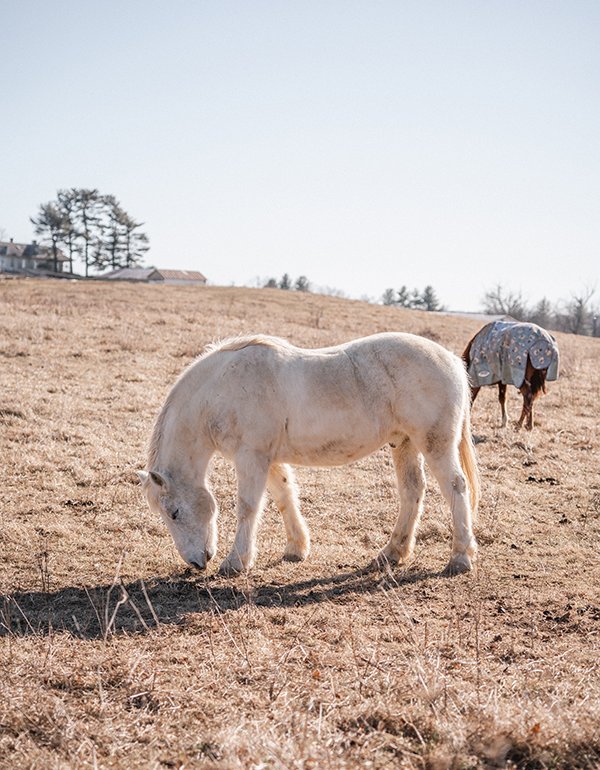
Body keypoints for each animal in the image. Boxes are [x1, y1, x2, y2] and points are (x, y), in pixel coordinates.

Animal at [138, 333, 480, 577]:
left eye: (174, 513)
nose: (196, 562)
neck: (221, 390)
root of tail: (452, 360)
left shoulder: (251, 457)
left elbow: (248, 507)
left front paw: (236, 561)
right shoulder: (269, 459)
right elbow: (285, 496)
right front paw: (296, 548)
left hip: (434, 443)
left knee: (456, 487)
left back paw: (460, 557)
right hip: (405, 443)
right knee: (412, 492)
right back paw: (391, 553)